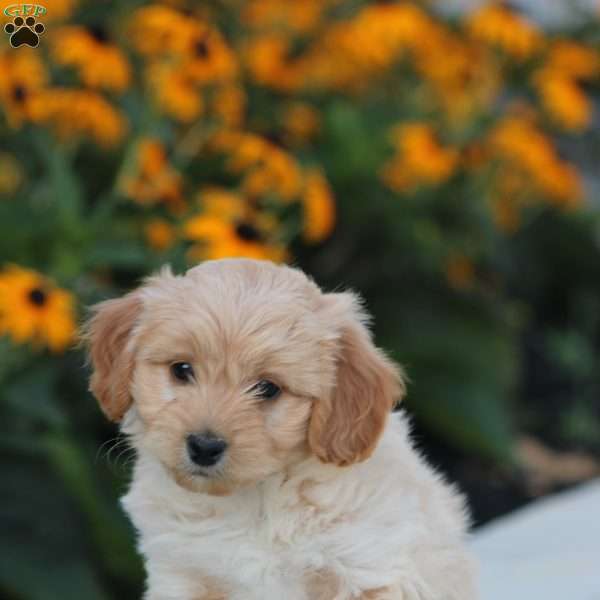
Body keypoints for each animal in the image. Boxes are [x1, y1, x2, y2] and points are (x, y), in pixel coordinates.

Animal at [85, 258, 478, 600]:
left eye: (268, 388)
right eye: (181, 370)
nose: (204, 447)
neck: (257, 498)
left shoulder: (371, 569)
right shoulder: (183, 573)